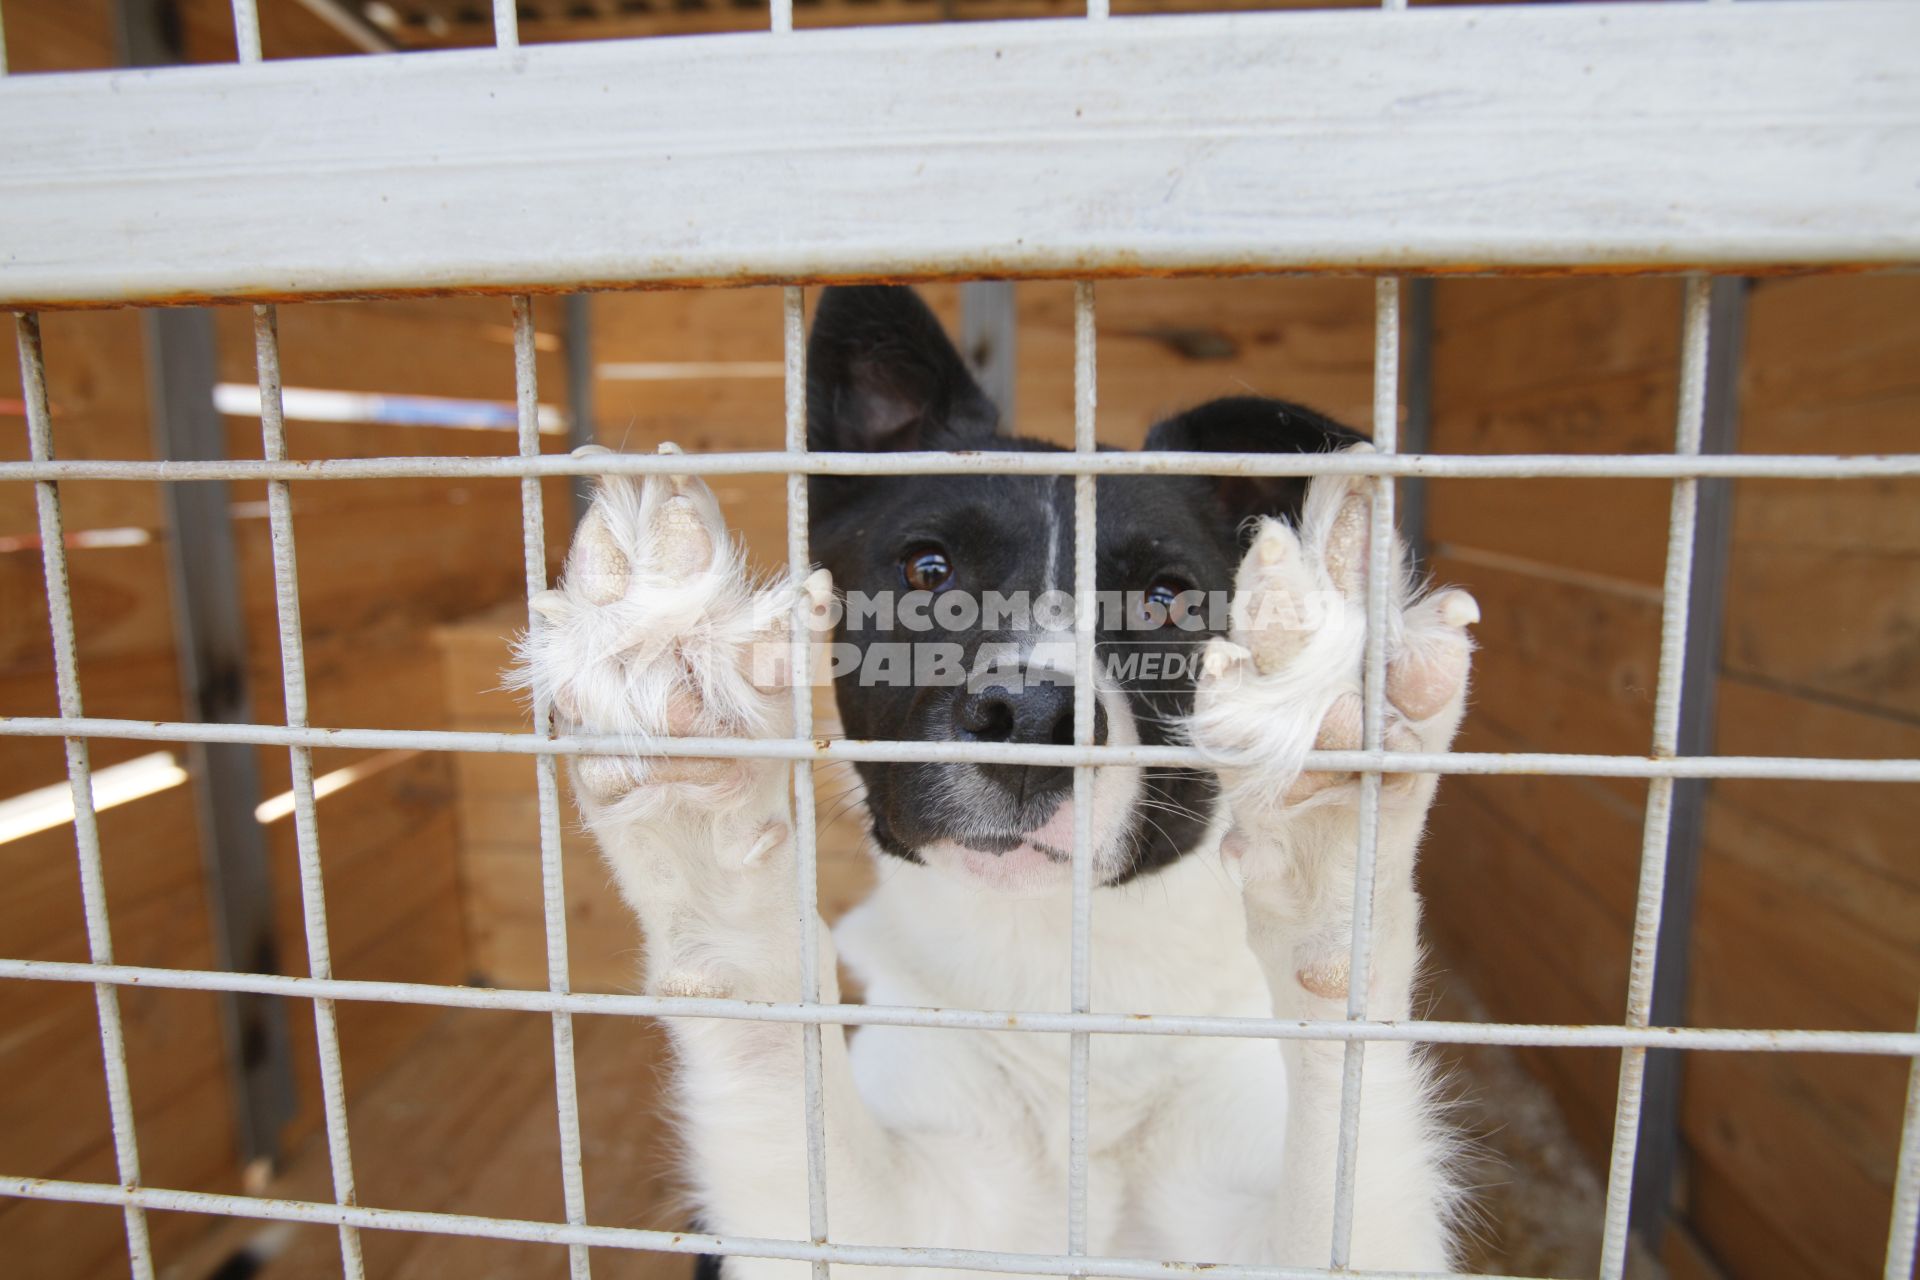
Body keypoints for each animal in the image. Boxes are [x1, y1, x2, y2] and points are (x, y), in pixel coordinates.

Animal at [506, 285, 1466, 1274]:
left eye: (1166, 597)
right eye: (928, 570)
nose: (1033, 721)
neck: (1053, 976)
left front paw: (1326, 776)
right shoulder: (866, 1225)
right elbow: (763, 1038)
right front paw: (678, 723)